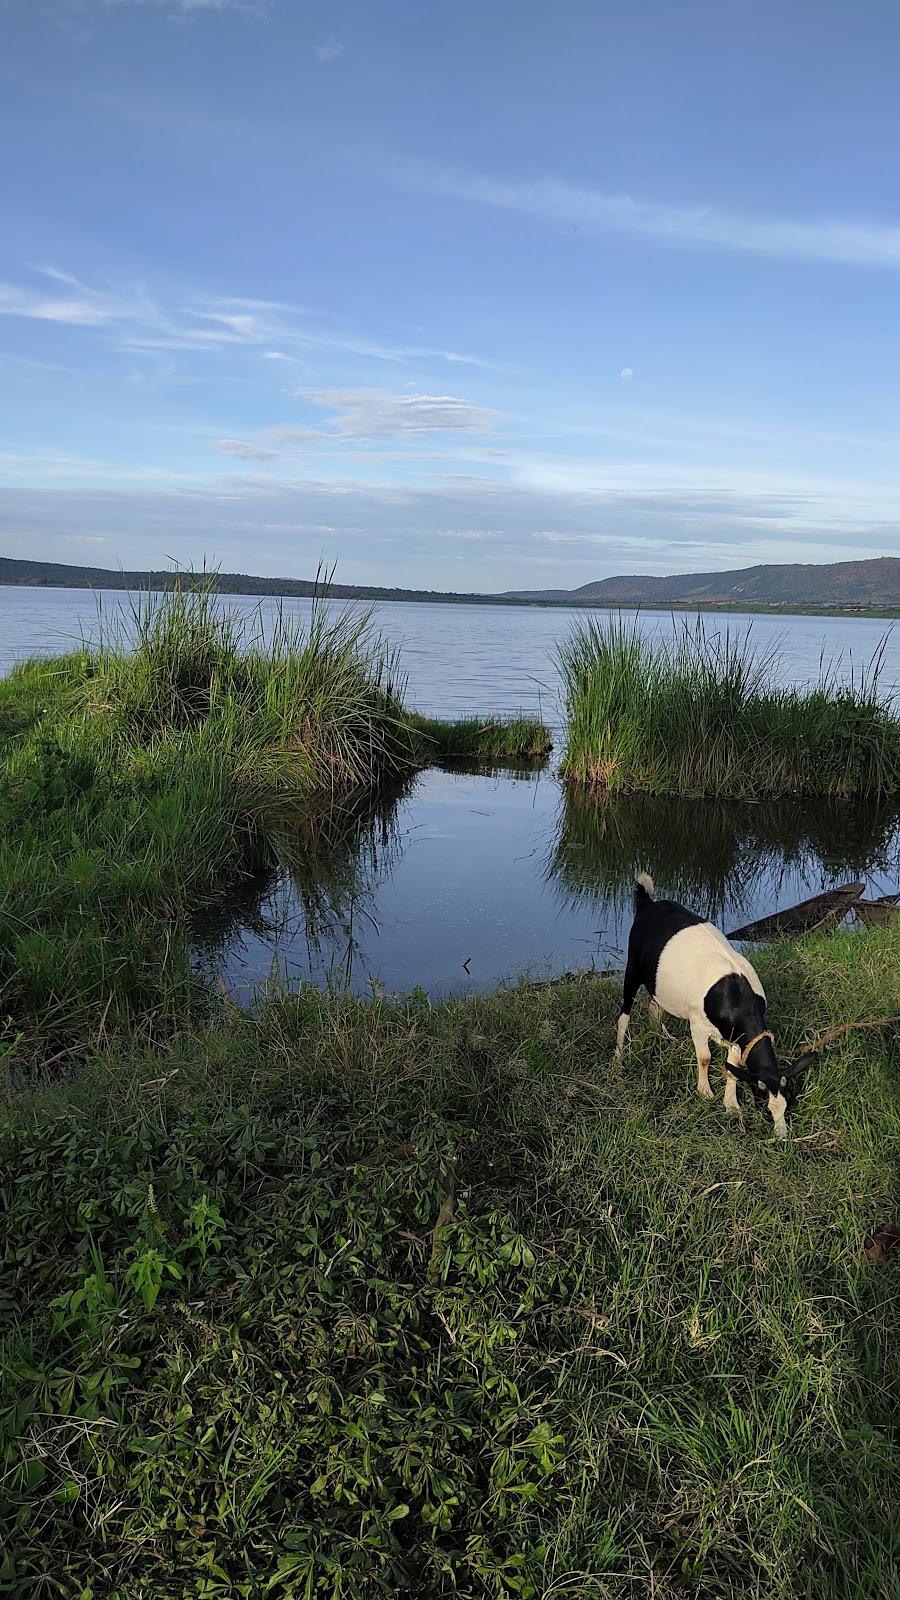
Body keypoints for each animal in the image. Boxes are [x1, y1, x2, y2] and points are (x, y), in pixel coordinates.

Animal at [608, 876, 813, 1139]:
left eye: (789, 1104)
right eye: (765, 1108)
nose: (782, 1136)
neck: (737, 1000)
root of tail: (649, 903)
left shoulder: (736, 1038)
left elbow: (732, 1067)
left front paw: (731, 1105)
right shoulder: (698, 1024)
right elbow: (705, 1058)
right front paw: (705, 1093)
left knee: (654, 1006)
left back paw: (660, 1037)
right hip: (632, 969)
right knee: (624, 1014)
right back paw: (618, 1059)